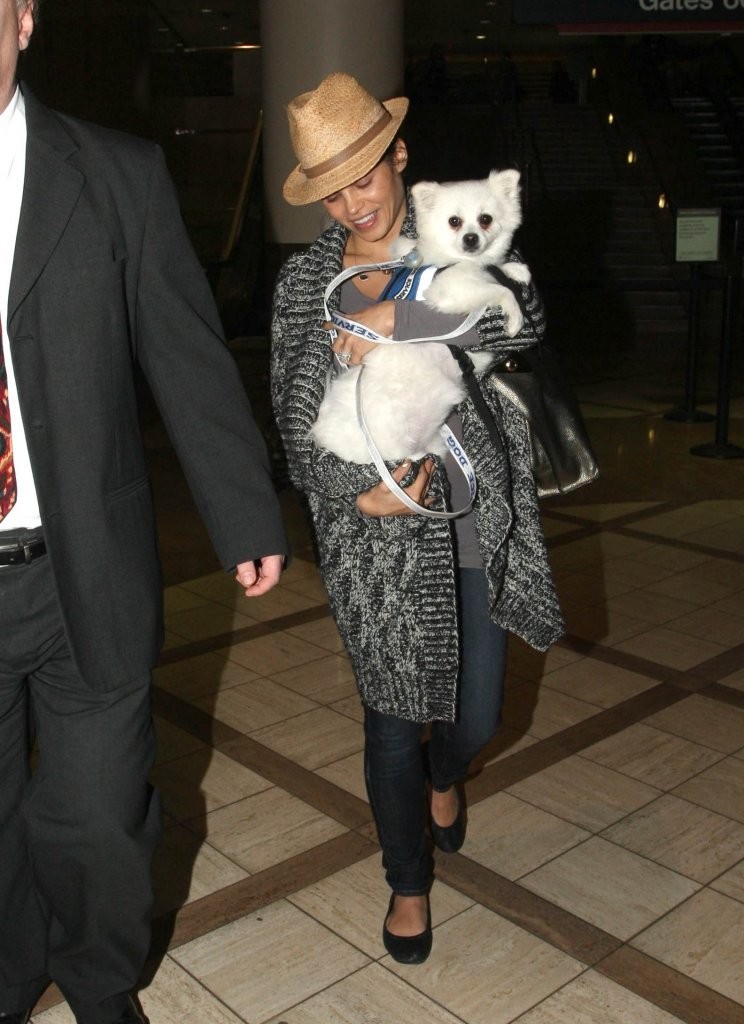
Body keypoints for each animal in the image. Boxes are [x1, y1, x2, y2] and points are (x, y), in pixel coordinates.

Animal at [311, 169, 529, 464]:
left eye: (486, 219)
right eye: (454, 222)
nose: (471, 238)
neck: (456, 260)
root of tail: (322, 434)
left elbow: (495, 271)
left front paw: (515, 269)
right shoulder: (450, 291)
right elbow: (500, 289)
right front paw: (515, 316)